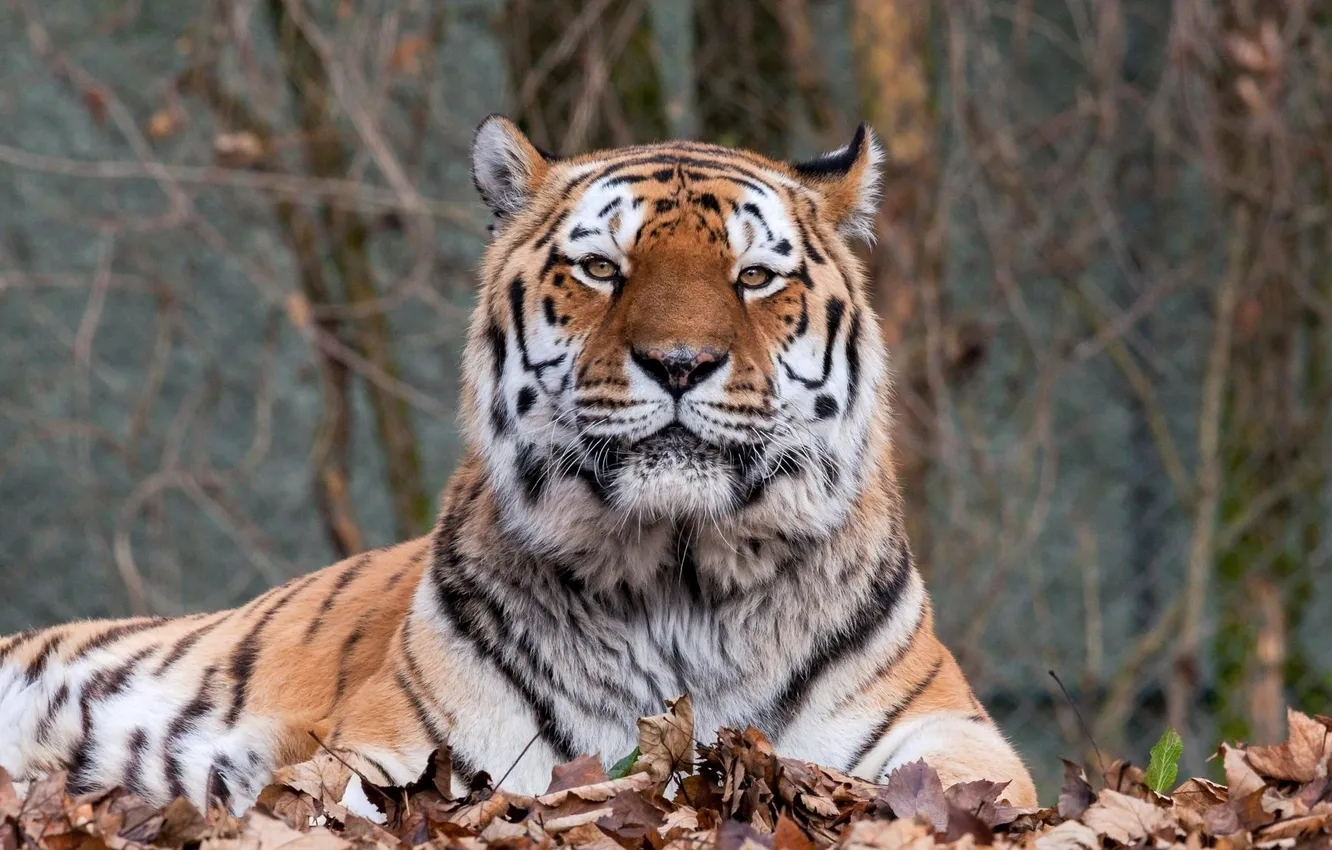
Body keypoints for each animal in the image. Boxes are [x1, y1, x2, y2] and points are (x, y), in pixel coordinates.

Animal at [0, 115, 1037, 816]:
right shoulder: (401, 749)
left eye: (753, 277)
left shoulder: (946, 729)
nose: (680, 363)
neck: (682, 577)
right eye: (602, 269)